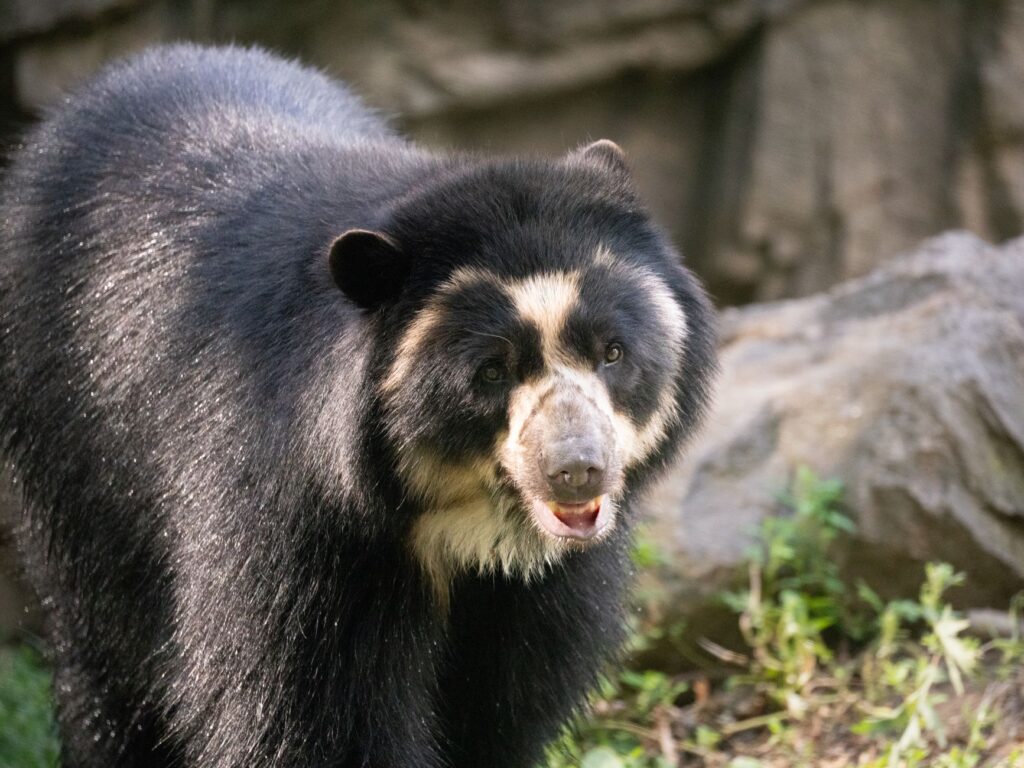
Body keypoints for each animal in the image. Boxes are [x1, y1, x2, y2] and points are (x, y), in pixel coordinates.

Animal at [0, 44, 716, 768]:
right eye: (491, 372)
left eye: (612, 352)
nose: (577, 470)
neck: (455, 524)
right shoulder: (299, 524)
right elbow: (308, 710)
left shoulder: (535, 590)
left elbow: (505, 704)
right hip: (76, 440)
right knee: (108, 656)